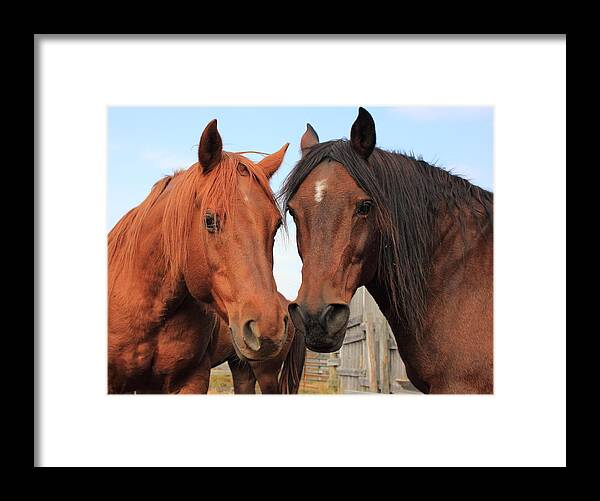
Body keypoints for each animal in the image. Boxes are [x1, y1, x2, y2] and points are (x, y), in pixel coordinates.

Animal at [109, 119, 298, 392]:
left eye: (275, 225)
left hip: (266, 373)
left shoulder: (192, 379)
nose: (268, 327)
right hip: (243, 369)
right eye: (209, 220)